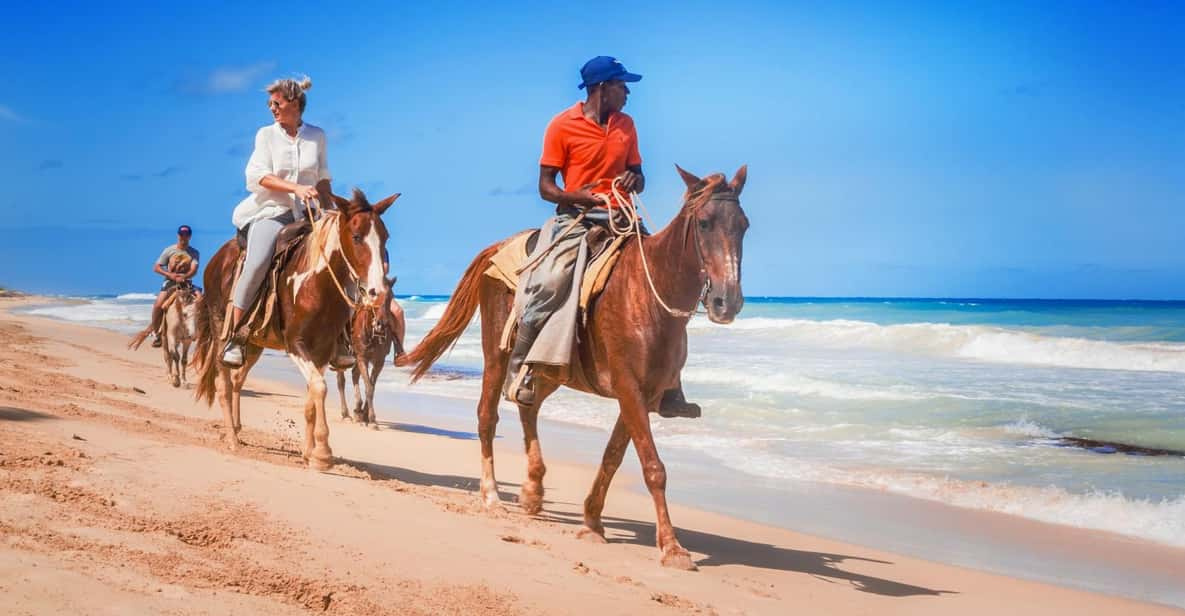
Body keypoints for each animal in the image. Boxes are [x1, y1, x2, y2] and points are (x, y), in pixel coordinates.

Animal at [334, 288, 405, 426]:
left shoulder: (379, 361)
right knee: (341, 381)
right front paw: (371, 419)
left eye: (390, 298)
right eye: (374, 297)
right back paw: (345, 414)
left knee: (354, 375)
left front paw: (365, 416)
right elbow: (368, 387)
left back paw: (357, 409)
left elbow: (371, 386)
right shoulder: (362, 358)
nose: (380, 325)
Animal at [400, 165, 748, 569]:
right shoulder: (628, 388)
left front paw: (592, 522)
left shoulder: (642, 396)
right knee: (488, 415)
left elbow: (613, 457)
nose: (727, 302)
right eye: (705, 223)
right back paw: (491, 496)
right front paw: (672, 548)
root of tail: (499, 247)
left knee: (528, 405)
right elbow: (653, 467)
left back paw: (533, 490)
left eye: (743, 225)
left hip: (552, 366)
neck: (649, 294)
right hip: (497, 355)